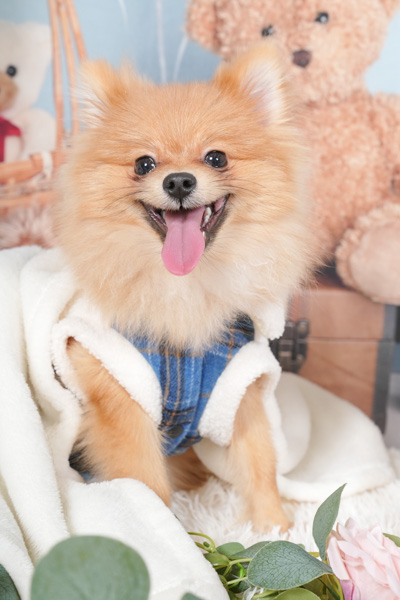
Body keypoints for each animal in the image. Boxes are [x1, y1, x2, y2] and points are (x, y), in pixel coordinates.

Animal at [55, 42, 313, 532]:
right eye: (143, 164)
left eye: (217, 158)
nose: (177, 180)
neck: (186, 290)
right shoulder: (122, 398)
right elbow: (147, 488)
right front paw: (174, 540)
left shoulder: (239, 388)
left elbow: (260, 465)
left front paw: (279, 530)